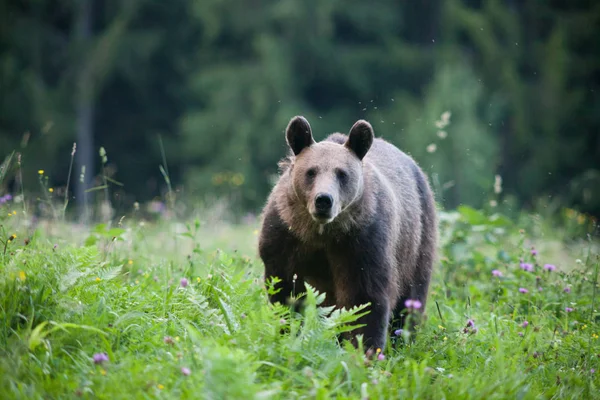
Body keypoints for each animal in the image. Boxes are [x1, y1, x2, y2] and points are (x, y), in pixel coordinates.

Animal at [256, 115, 436, 350]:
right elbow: (285, 294)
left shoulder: (361, 242)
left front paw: (365, 348)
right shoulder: (285, 237)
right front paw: (286, 333)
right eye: (311, 171)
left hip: (416, 240)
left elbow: (364, 299)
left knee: (411, 298)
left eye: (342, 174)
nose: (324, 200)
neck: (320, 233)